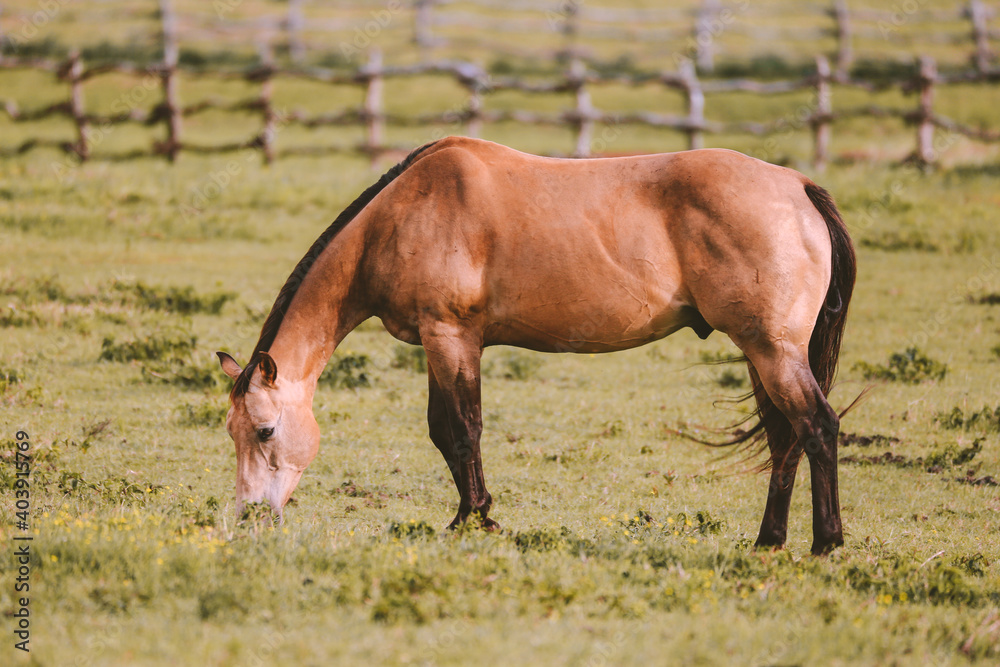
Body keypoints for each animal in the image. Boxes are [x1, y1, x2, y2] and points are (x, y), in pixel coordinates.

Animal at [216, 136, 856, 555]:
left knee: (817, 426)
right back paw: (769, 540)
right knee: (785, 437)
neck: (402, 215)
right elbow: (445, 432)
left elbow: (460, 430)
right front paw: (471, 515)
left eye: (265, 431)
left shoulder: (451, 337)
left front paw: (474, 520)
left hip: (772, 351)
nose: (252, 516)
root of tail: (797, 187)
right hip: (761, 353)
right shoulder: (439, 343)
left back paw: (825, 543)